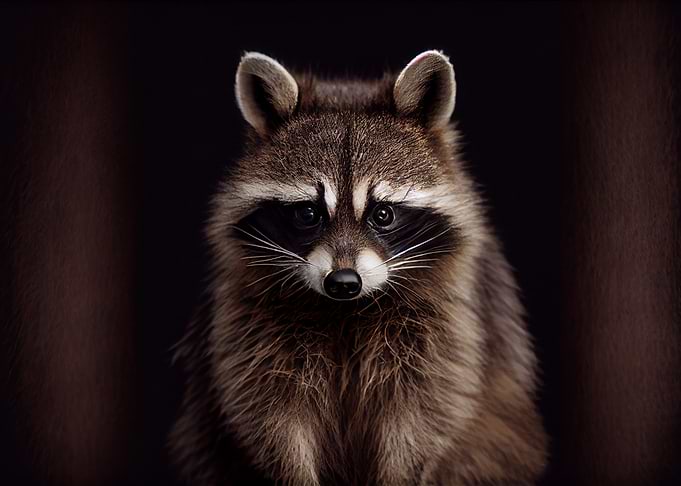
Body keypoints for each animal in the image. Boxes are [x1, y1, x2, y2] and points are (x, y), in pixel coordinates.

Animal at [169, 50, 548, 485]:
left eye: (383, 214)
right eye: (308, 213)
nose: (344, 282)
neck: (346, 310)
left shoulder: (444, 328)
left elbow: (421, 417)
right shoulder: (249, 323)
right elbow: (271, 418)